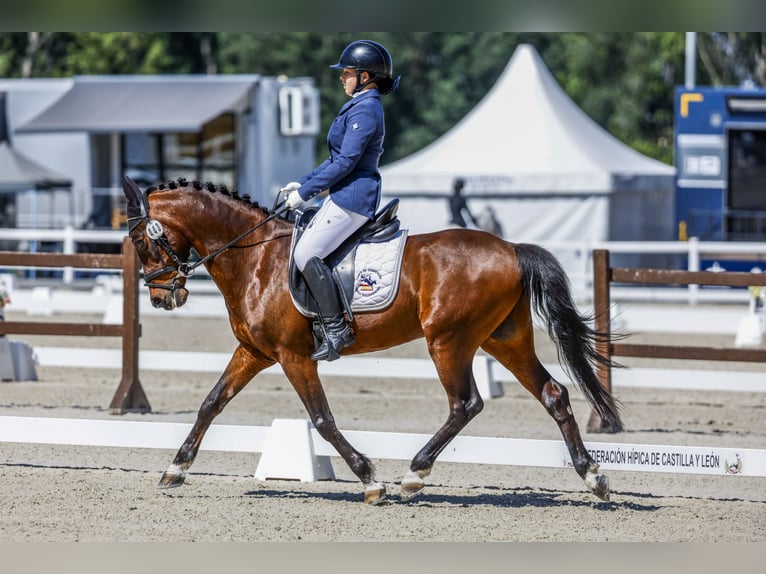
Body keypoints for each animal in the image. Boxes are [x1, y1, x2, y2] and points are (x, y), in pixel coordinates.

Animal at [121, 176, 624, 504]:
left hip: (449, 341)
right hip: (504, 339)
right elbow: (211, 403)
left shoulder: (293, 356)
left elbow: (322, 419)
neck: (256, 258)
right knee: (553, 393)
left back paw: (414, 475)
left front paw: (369, 480)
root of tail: (512, 249)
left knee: (465, 404)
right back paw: (594, 478)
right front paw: (174, 469)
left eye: (141, 242)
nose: (162, 297)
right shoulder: (255, 352)